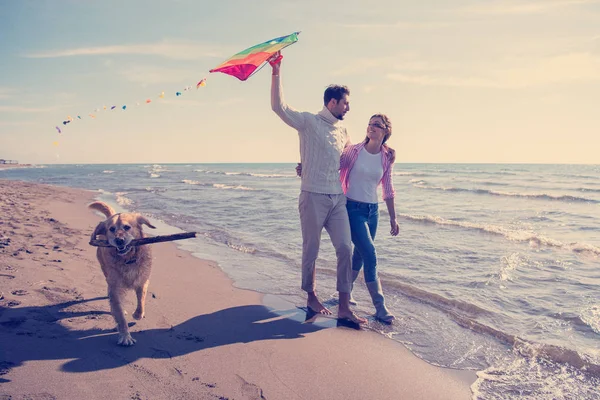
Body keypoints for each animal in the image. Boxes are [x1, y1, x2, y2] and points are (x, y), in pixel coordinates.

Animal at [88, 202, 156, 346]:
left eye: (127, 227)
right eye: (111, 229)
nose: (119, 240)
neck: (127, 259)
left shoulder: (142, 280)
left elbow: (141, 299)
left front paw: (138, 314)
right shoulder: (115, 287)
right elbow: (119, 313)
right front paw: (125, 335)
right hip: (105, 270)